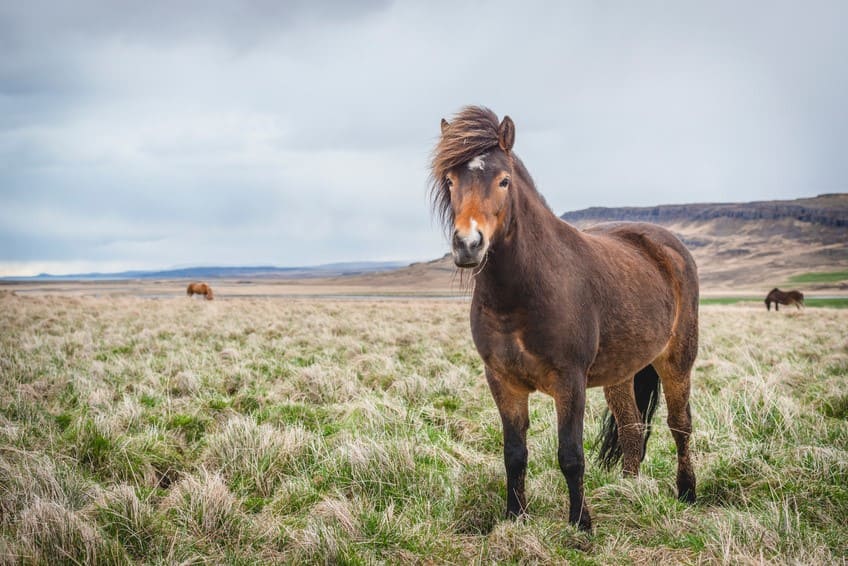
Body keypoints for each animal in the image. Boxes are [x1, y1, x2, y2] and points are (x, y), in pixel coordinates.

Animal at [434, 106, 700, 532]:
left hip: (677, 361)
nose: (468, 244)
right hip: (621, 372)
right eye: (450, 180)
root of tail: (668, 245)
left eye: (503, 181)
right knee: (631, 428)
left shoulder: (569, 381)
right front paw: (515, 515)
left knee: (680, 425)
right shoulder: (502, 381)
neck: (521, 294)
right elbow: (514, 454)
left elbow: (571, 455)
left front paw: (580, 523)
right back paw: (628, 492)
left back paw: (687, 492)